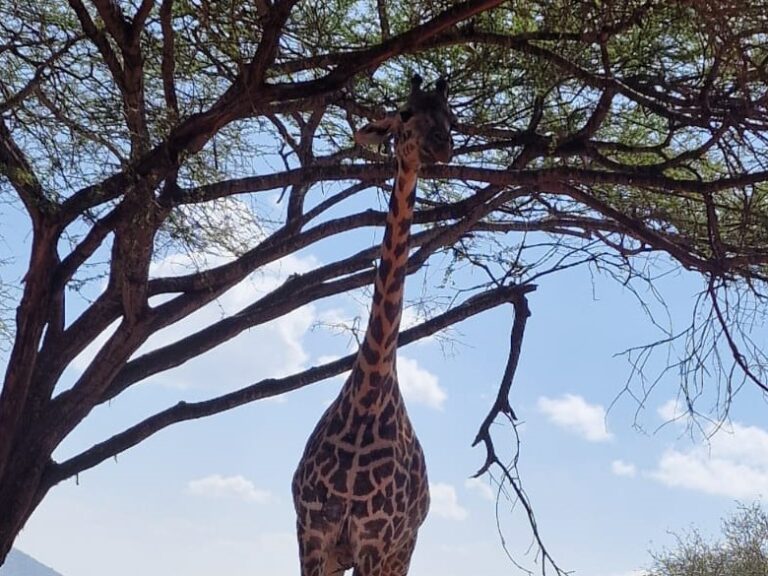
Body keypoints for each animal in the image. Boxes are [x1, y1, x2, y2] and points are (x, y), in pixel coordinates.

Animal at [292, 74, 453, 576]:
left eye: (450, 115)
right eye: (404, 112)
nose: (443, 144)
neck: (368, 397)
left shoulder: (375, 542)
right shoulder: (314, 533)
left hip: (402, 550)